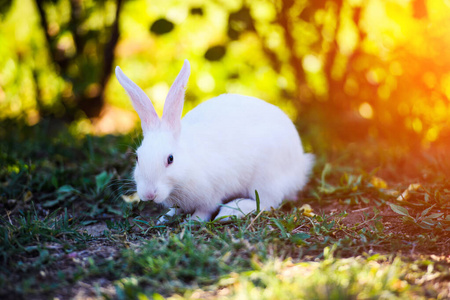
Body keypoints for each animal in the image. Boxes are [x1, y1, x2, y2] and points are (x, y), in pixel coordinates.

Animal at [115, 59, 312, 223]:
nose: (149, 194)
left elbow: (205, 210)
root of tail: (300, 166)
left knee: (266, 202)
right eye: (137, 158)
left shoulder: (212, 193)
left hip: (266, 177)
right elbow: (176, 210)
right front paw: (165, 218)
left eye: (170, 159)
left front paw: (193, 221)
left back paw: (231, 211)